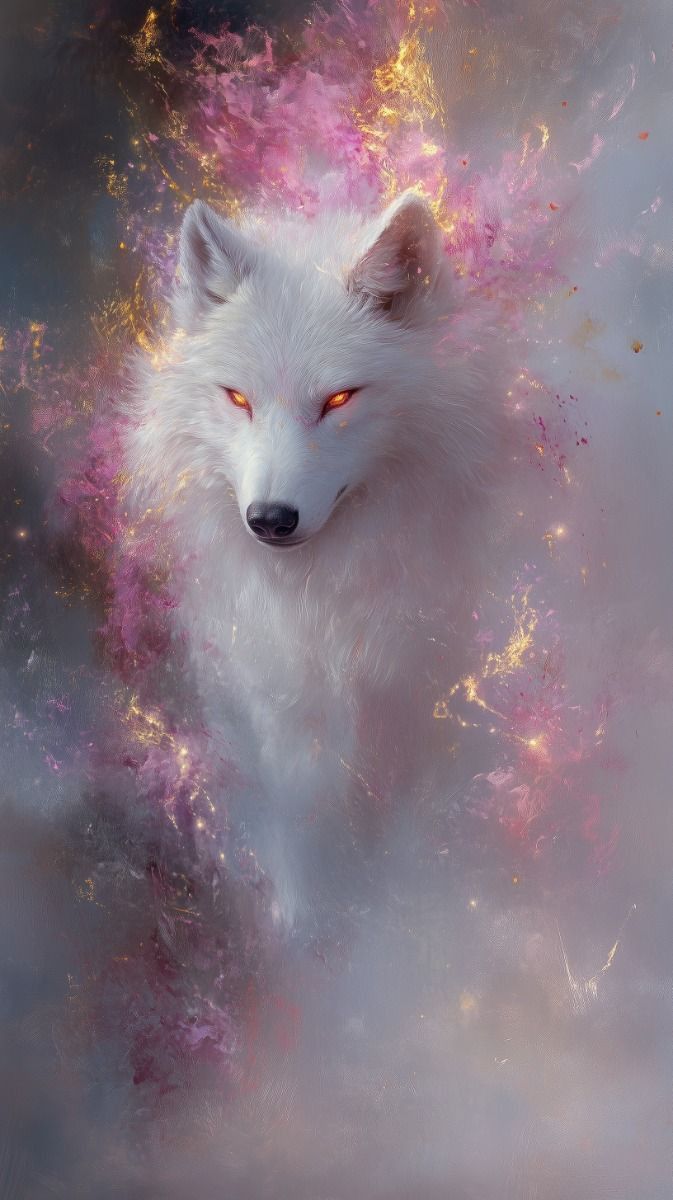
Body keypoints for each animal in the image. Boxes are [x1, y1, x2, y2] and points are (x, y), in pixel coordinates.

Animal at [123, 190, 511, 928]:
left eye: (338, 399)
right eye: (236, 398)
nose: (270, 520)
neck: (322, 602)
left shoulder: (418, 691)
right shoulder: (274, 695)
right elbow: (299, 819)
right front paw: (302, 926)